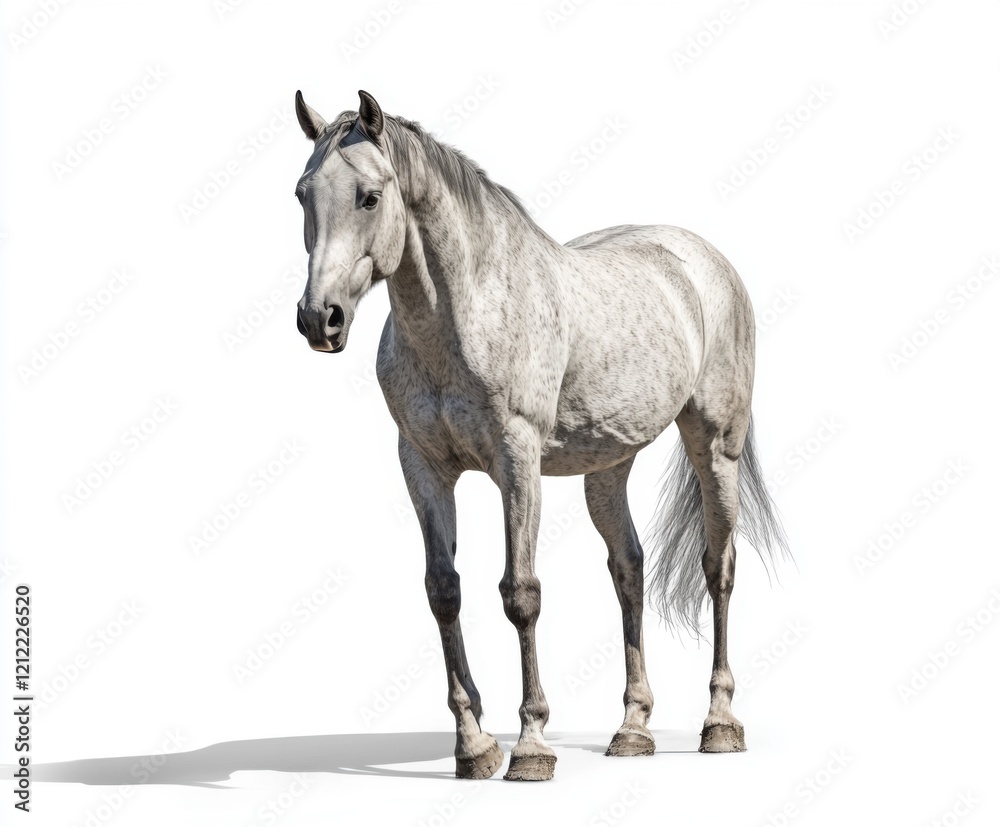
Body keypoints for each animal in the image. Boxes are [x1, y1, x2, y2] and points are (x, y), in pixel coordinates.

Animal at [291, 90, 791, 781]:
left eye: (369, 196)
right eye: (302, 194)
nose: (320, 319)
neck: (463, 314)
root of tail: (703, 258)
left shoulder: (517, 463)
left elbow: (520, 594)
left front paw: (530, 746)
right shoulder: (422, 466)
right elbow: (443, 591)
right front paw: (474, 747)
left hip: (716, 446)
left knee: (718, 566)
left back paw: (720, 723)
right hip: (608, 467)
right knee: (628, 568)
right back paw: (632, 729)